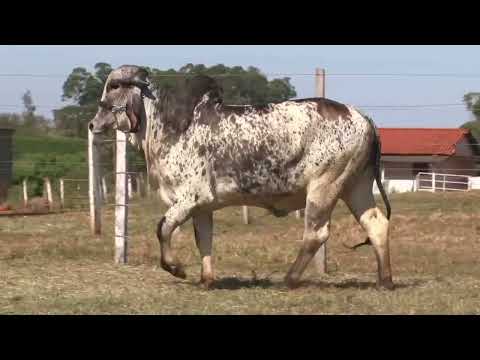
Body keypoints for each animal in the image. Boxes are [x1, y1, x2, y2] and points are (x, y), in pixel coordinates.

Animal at [87, 65, 394, 290]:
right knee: (376, 224)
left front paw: (176, 268)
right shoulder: (202, 206)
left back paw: (289, 279)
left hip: (324, 187)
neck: (172, 125)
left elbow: (162, 228)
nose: (93, 123)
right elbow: (204, 240)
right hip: (355, 186)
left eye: (114, 86)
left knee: (316, 234)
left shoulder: (189, 198)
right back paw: (385, 281)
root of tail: (363, 117)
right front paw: (206, 280)